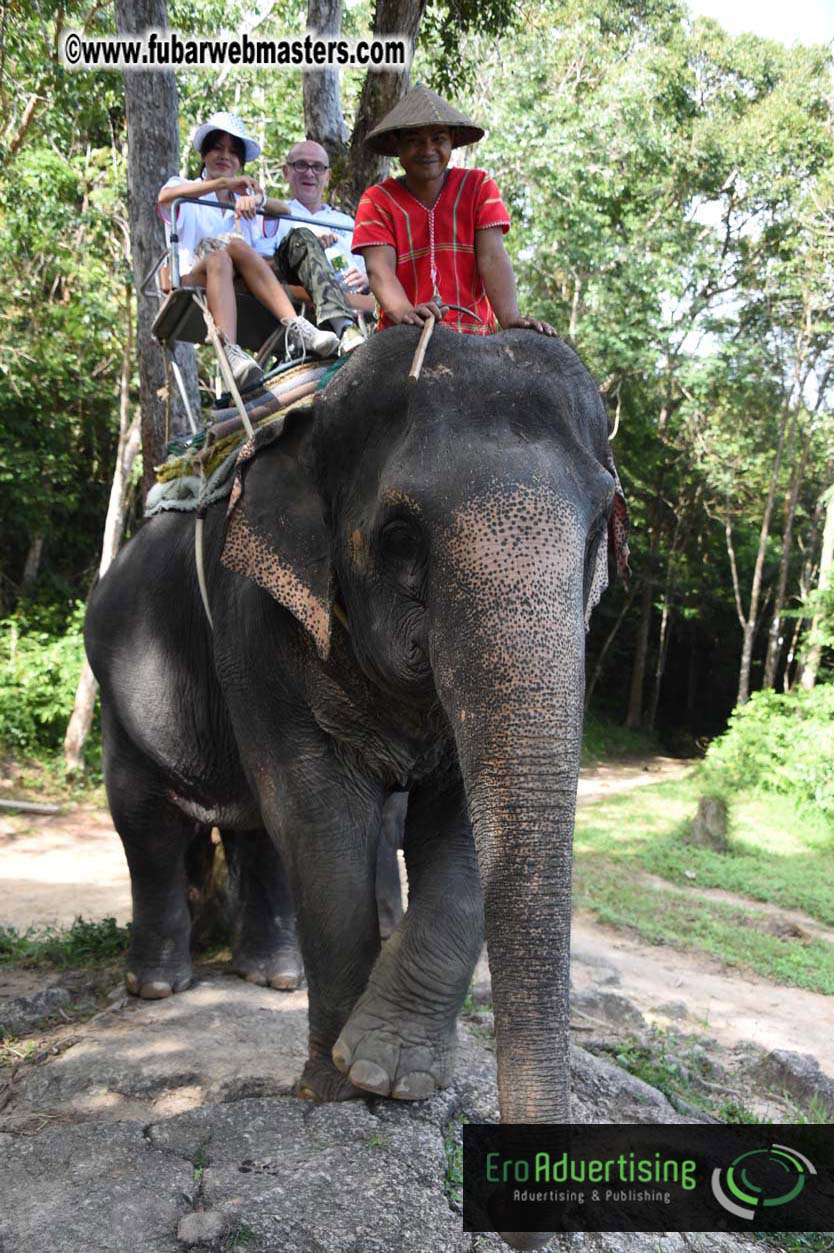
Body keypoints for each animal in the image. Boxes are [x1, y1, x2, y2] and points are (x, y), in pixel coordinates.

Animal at [85, 326, 627, 1252]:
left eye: (601, 523)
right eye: (400, 533)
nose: (535, 1220)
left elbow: (457, 826)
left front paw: (390, 1071)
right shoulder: (254, 610)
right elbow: (319, 806)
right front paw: (337, 1087)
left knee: (255, 829)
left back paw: (272, 975)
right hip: (120, 680)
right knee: (150, 824)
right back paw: (159, 986)